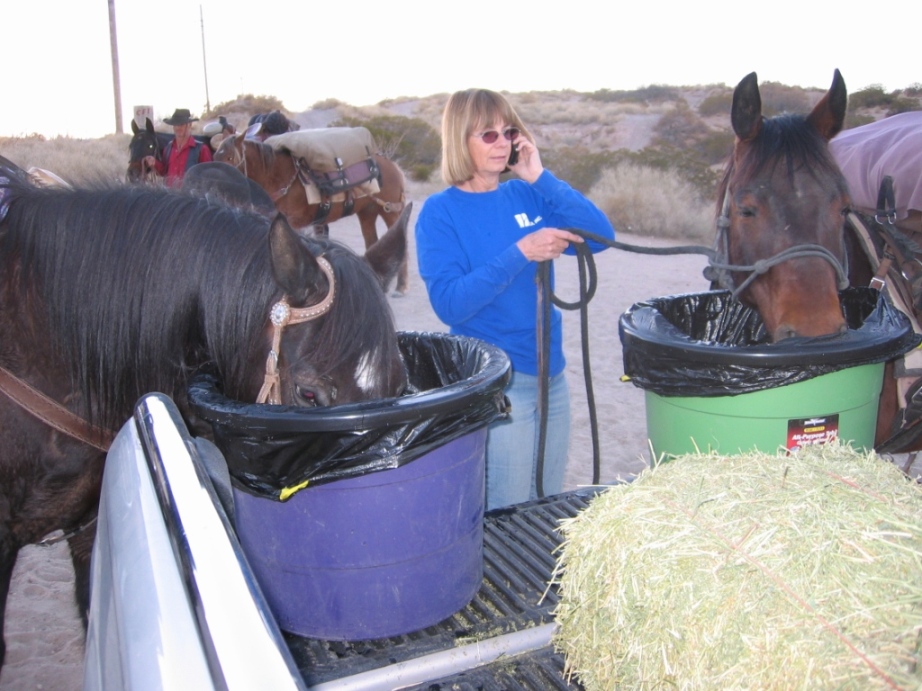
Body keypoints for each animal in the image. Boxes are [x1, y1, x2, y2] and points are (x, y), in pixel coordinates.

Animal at [214, 132, 408, 294]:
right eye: (215, 155)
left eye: (230, 156)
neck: (280, 177)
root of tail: (393, 166)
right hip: (367, 213)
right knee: (372, 242)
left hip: (390, 212)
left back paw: (401, 286)